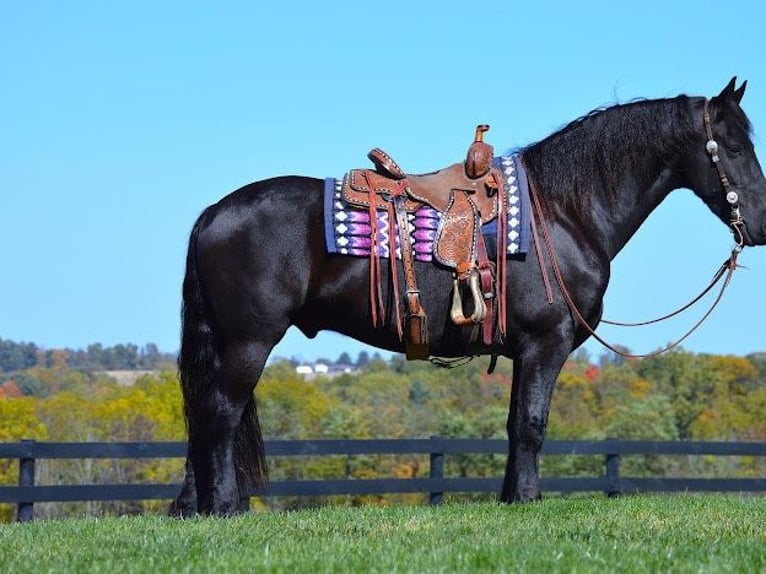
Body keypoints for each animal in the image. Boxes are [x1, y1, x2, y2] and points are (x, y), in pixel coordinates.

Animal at [171, 77, 766, 516]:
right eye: (735, 147)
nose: (760, 225)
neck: (562, 213)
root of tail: (214, 213)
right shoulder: (545, 344)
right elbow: (531, 424)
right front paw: (527, 499)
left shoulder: (523, 350)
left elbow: (514, 423)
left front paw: (509, 498)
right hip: (250, 341)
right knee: (220, 413)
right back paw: (224, 506)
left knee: (203, 414)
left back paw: (192, 506)